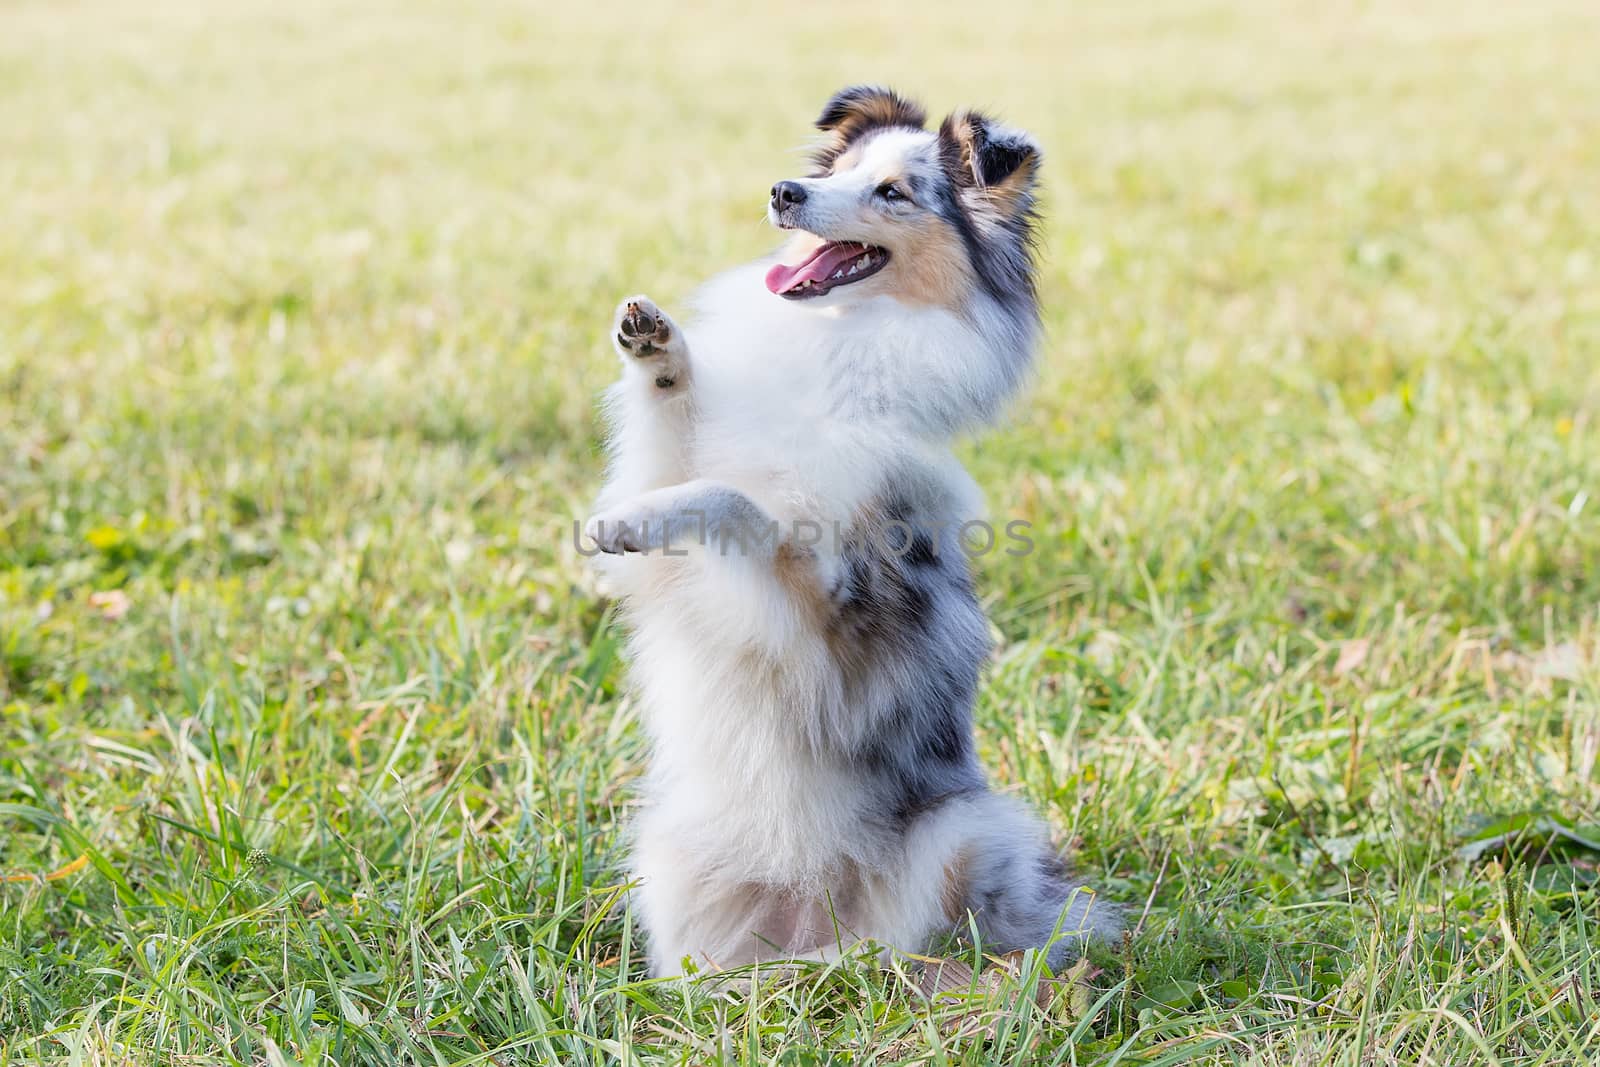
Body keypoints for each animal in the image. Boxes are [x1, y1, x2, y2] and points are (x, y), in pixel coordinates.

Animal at [582, 87, 1120, 979]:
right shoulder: (678, 529)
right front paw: (656, 348)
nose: (783, 192)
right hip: (669, 852)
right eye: (836, 171)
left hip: (963, 829)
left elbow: (735, 500)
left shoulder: (826, 601)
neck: (841, 340)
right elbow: (677, 448)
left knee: (913, 943)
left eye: (894, 192)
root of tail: (808, 920)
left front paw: (636, 520)